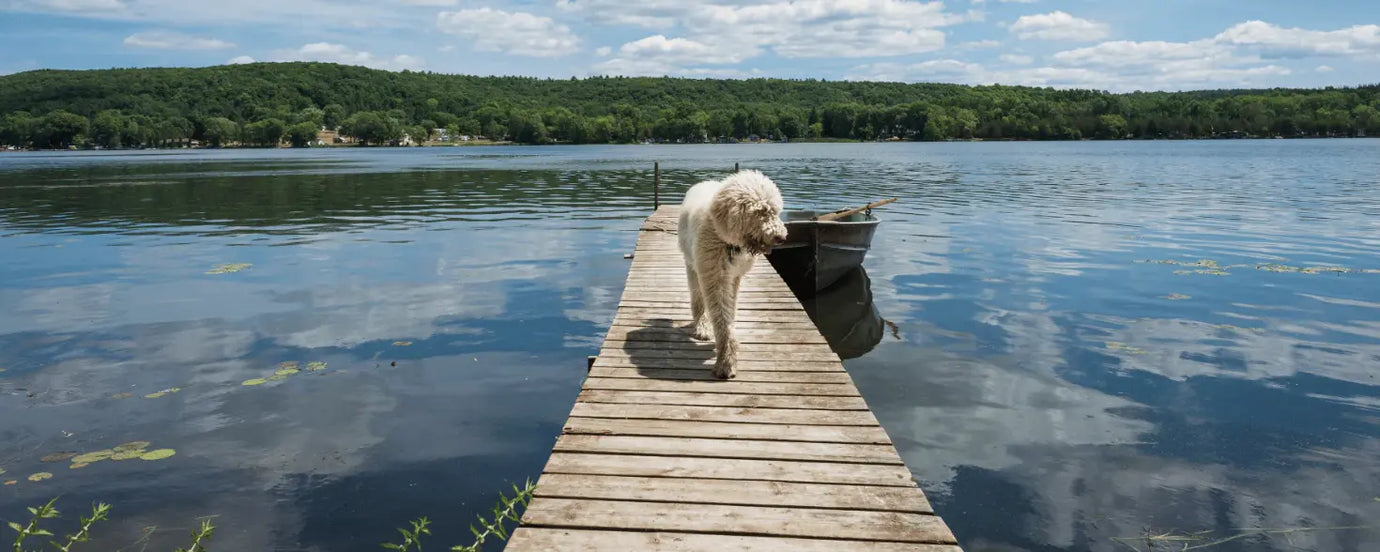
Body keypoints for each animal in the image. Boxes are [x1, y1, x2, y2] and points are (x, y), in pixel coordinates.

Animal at [676, 168, 789, 380]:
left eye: (775, 211)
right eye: (761, 211)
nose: (782, 237)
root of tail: (704, 182)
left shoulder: (735, 277)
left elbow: (730, 309)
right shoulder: (714, 276)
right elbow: (721, 318)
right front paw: (726, 363)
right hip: (691, 265)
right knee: (697, 298)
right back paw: (702, 326)